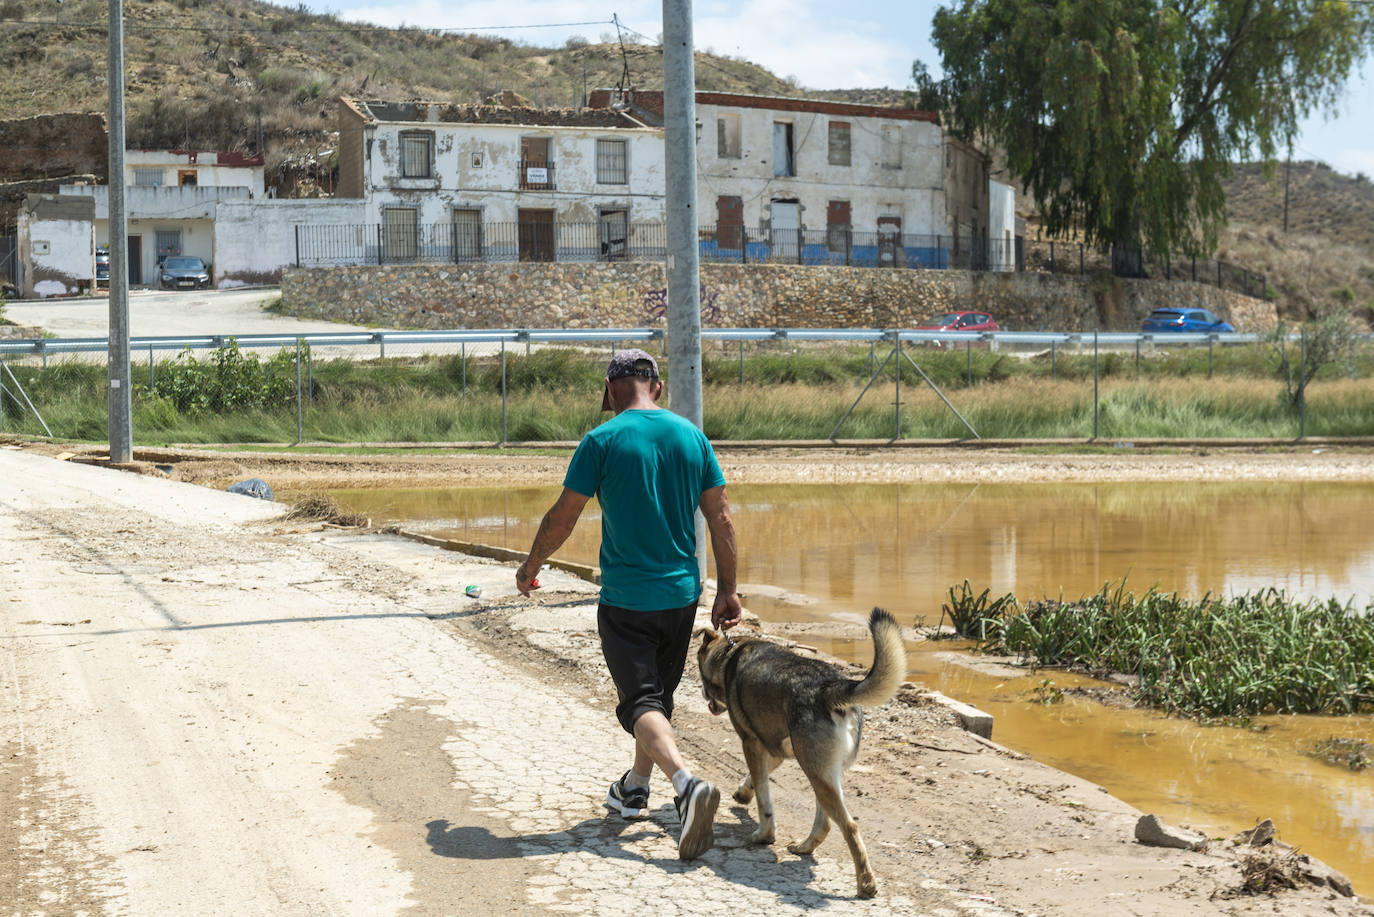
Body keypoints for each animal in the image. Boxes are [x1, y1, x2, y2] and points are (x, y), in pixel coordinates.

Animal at [697, 604, 912, 901]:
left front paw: (763, 835)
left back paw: (866, 883)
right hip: (824, 773)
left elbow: (764, 800)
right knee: (825, 824)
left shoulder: (751, 743)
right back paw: (804, 847)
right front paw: (743, 793)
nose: (705, 698)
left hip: (814, 770)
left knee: (850, 826)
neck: (729, 653)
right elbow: (755, 779)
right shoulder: (776, 747)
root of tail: (828, 688)